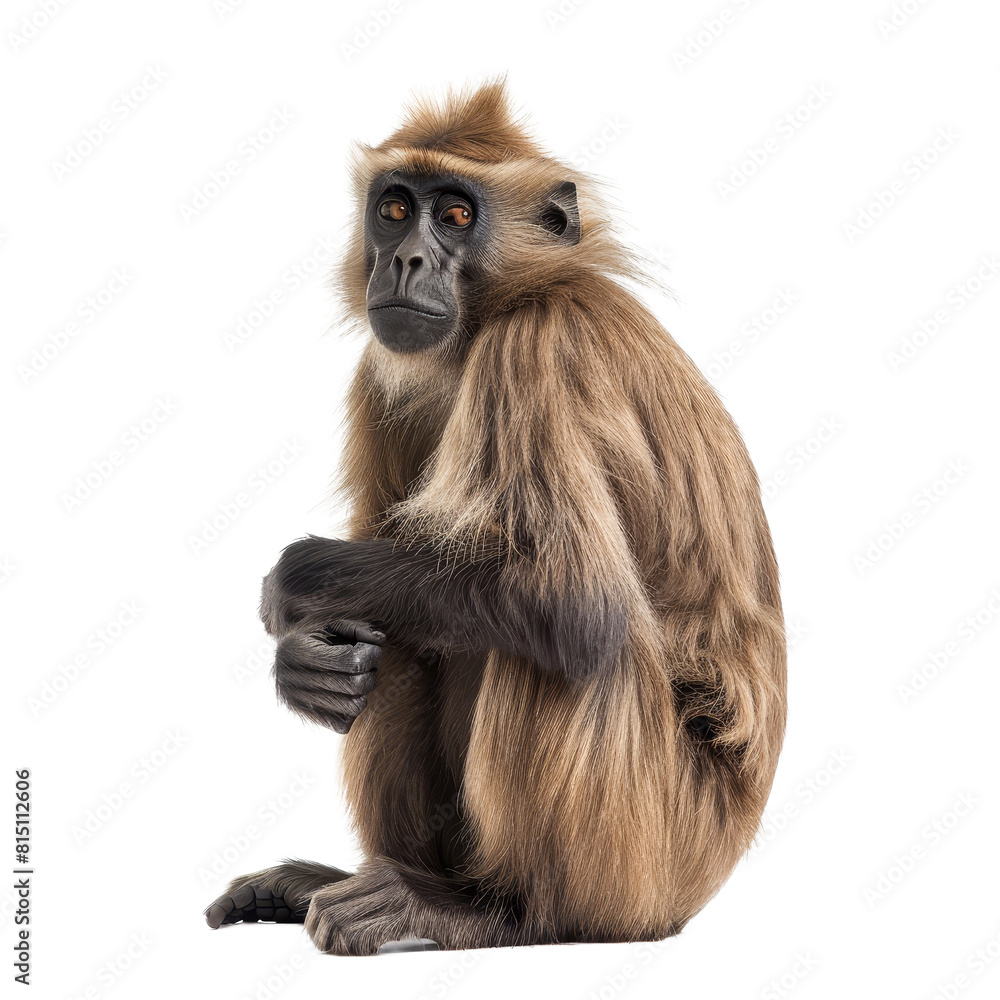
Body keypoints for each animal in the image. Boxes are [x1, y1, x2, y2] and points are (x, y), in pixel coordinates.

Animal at [204, 80, 786, 955]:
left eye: (454, 216)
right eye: (395, 208)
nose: (406, 259)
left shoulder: (539, 348)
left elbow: (574, 602)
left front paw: (293, 589)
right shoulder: (383, 368)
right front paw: (304, 660)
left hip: (655, 852)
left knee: (566, 637)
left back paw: (491, 911)